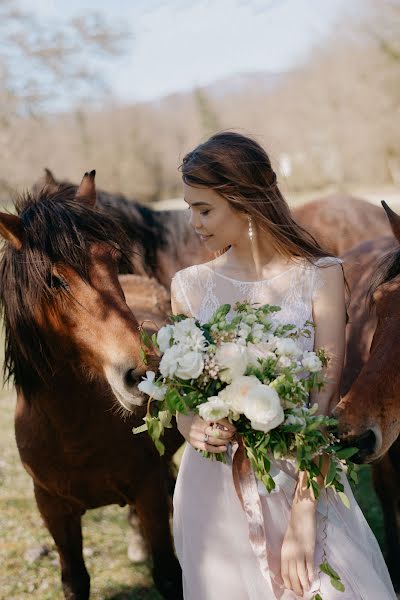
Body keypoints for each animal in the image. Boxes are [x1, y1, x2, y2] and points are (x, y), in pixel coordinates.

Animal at [0, 171, 183, 596]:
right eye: (54, 280)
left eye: (111, 259)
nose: (144, 373)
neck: (73, 435)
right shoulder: (52, 509)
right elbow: (75, 580)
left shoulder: (148, 491)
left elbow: (169, 573)